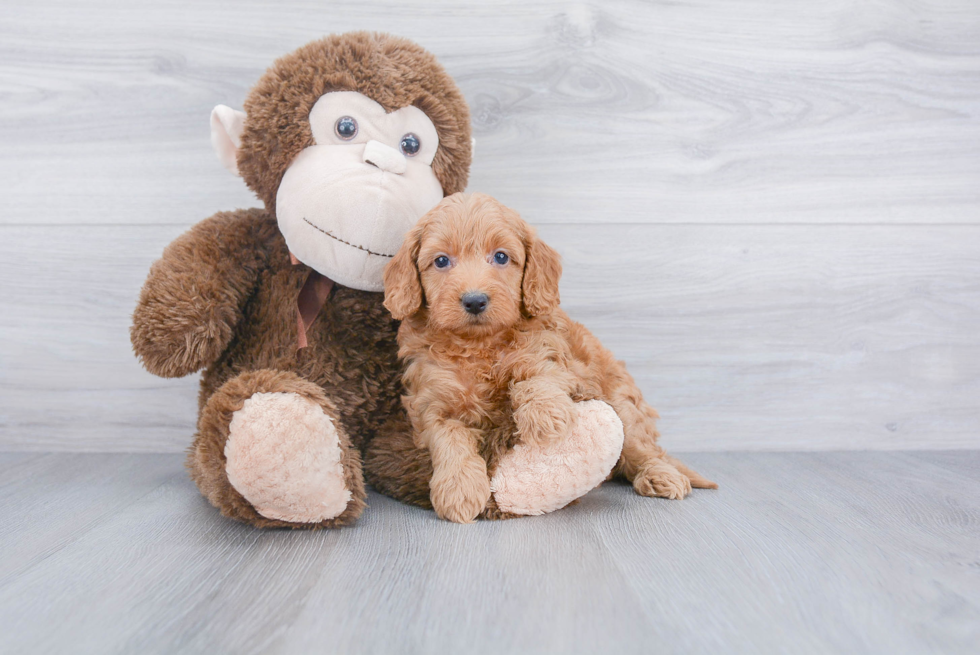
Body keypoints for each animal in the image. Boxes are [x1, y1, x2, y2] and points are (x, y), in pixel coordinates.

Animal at [380, 193, 712, 524]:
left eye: (501, 257)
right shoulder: (431, 402)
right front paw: (459, 491)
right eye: (441, 261)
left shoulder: (553, 356)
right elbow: (449, 438)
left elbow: (537, 377)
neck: (479, 344)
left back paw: (661, 475)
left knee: (642, 449)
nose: (475, 300)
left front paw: (545, 416)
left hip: (623, 406)